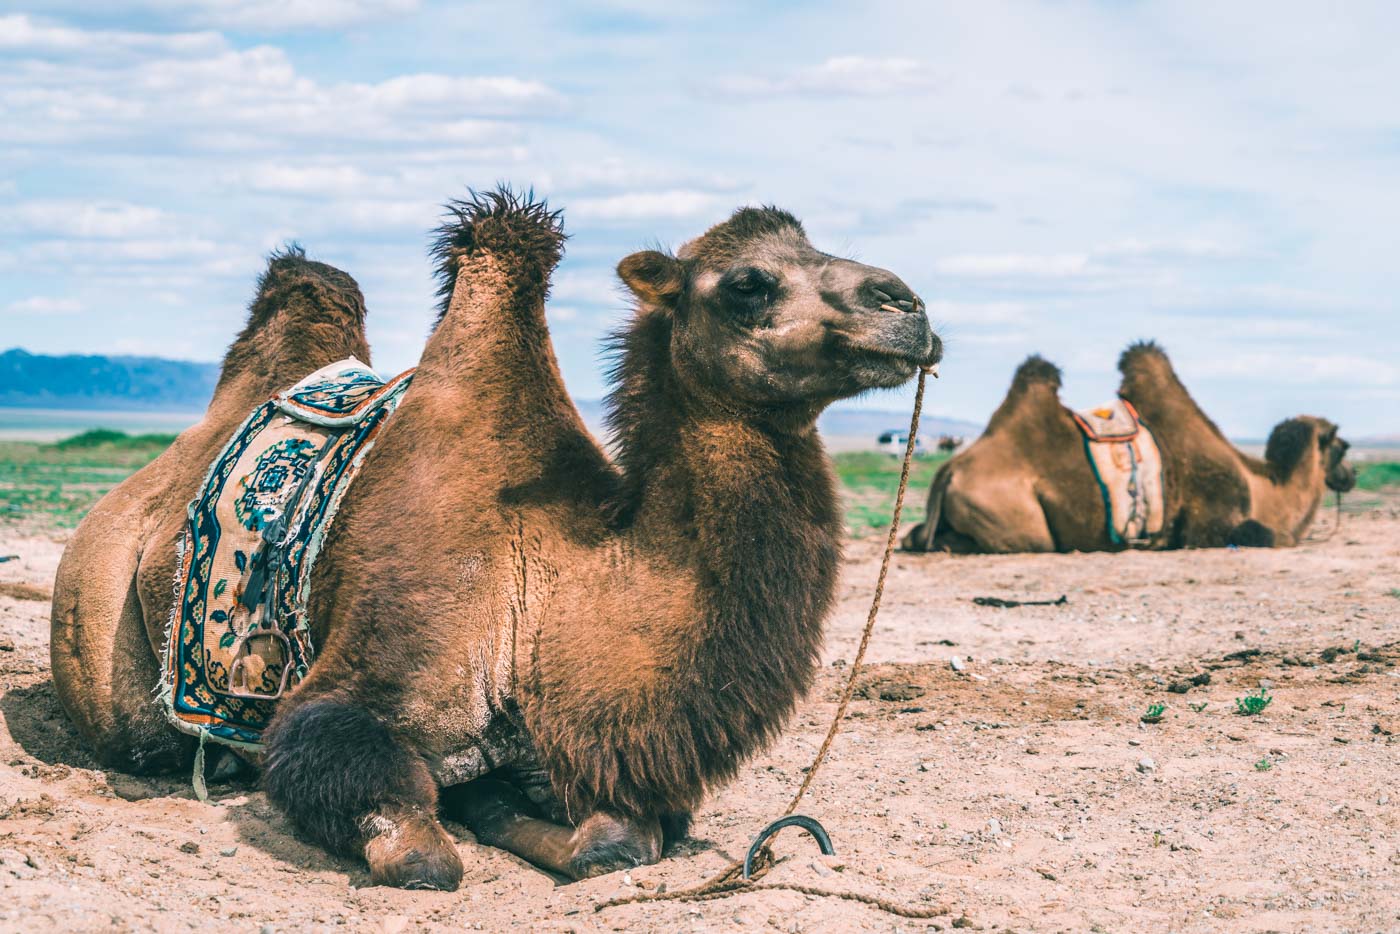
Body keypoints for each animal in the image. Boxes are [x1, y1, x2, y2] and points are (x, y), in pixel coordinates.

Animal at [54, 187, 940, 890]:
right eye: (749, 282)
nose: (907, 305)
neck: (548, 585)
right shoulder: (356, 685)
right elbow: (420, 853)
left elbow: (623, 837)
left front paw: (514, 813)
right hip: (99, 637)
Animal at [901, 343, 1349, 551]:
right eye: (1343, 447)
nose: (1350, 475)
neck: (1263, 488)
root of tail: (949, 469)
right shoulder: (1212, 522)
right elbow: (1271, 536)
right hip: (1019, 520)